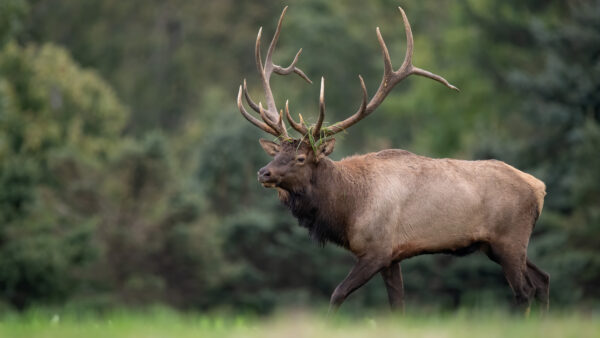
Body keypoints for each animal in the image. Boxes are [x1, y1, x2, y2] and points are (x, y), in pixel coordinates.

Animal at [234, 5, 548, 312]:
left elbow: (337, 294)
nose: (263, 173)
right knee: (542, 280)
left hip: (510, 239)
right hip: (497, 245)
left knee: (524, 291)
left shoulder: (377, 249)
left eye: (300, 158)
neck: (347, 207)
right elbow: (397, 304)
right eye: (278, 153)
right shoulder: (393, 256)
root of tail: (539, 187)